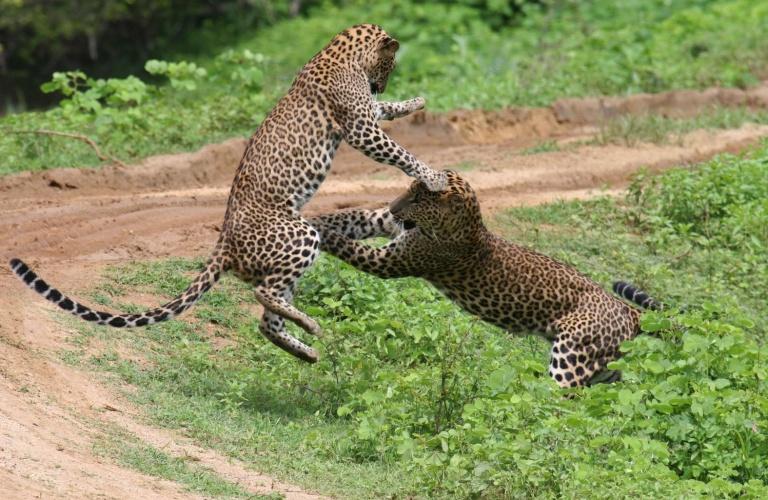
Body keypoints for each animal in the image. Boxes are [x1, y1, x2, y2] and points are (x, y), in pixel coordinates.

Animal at [9, 24, 448, 364]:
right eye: (390, 65)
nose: (381, 83)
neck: (339, 50)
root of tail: (224, 241)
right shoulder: (360, 128)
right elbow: (399, 152)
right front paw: (434, 177)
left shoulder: (366, 114)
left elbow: (386, 110)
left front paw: (416, 101)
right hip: (299, 236)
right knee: (263, 294)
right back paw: (310, 326)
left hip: (289, 254)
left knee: (267, 319)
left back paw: (306, 350)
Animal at [310, 172, 660, 386]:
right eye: (407, 192)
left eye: (418, 199)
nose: (394, 207)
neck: (466, 223)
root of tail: (626, 309)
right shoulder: (387, 225)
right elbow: (351, 217)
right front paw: (310, 218)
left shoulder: (392, 261)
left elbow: (346, 243)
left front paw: (317, 232)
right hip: (605, 369)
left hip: (573, 355)